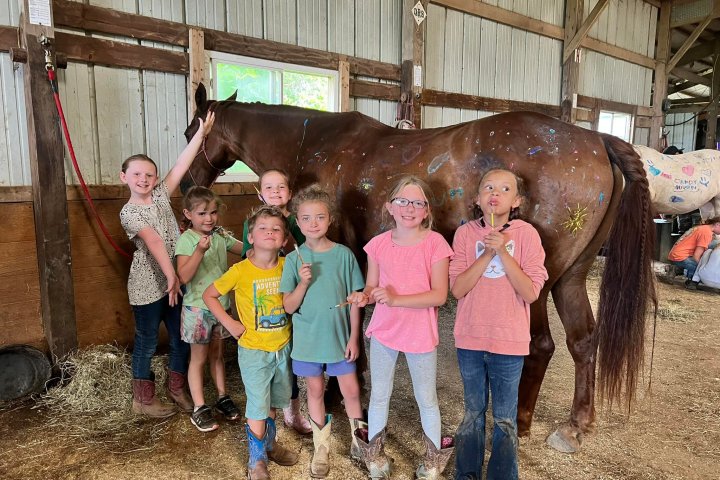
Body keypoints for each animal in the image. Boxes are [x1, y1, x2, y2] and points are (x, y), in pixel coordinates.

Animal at [183, 84, 656, 452]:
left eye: (191, 132)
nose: (188, 184)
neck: (310, 142)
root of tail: (595, 140)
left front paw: (340, 394)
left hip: (536, 284)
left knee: (541, 346)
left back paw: (517, 425)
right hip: (571, 278)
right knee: (583, 341)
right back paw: (575, 426)